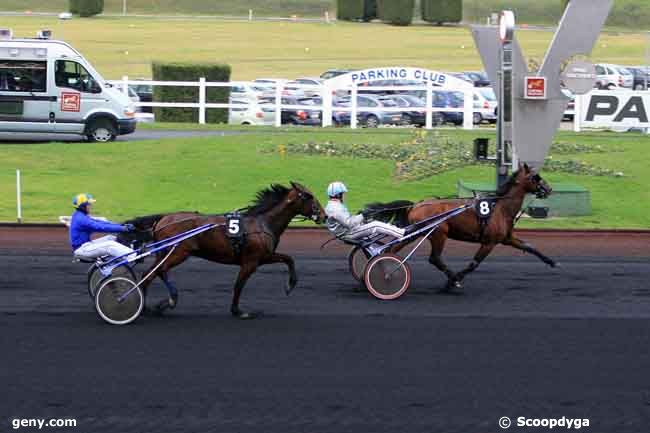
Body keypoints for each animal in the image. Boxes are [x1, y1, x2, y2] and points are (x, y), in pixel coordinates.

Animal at [119, 181, 324, 318]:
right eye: (309, 196)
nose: (323, 215)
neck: (262, 223)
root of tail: (162, 219)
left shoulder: (264, 256)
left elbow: (288, 258)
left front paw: (290, 285)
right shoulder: (251, 261)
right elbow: (239, 285)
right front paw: (238, 311)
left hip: (166, 253)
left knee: (151, 273)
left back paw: (153, 305)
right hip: (179, 253)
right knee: (159, 271)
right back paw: (162, 302)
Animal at [362, 163, 556, 290]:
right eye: (535, 177)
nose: (548, 189)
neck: (501, 208)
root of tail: (416, 205)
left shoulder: (506, 238)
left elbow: (529, 247)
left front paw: (551, 261)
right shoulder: (489, 242)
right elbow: (473, 264)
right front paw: (455, 279)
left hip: (415, 232)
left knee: (392, 249)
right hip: (439, 233)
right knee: (435, 258)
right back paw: (452, 278)